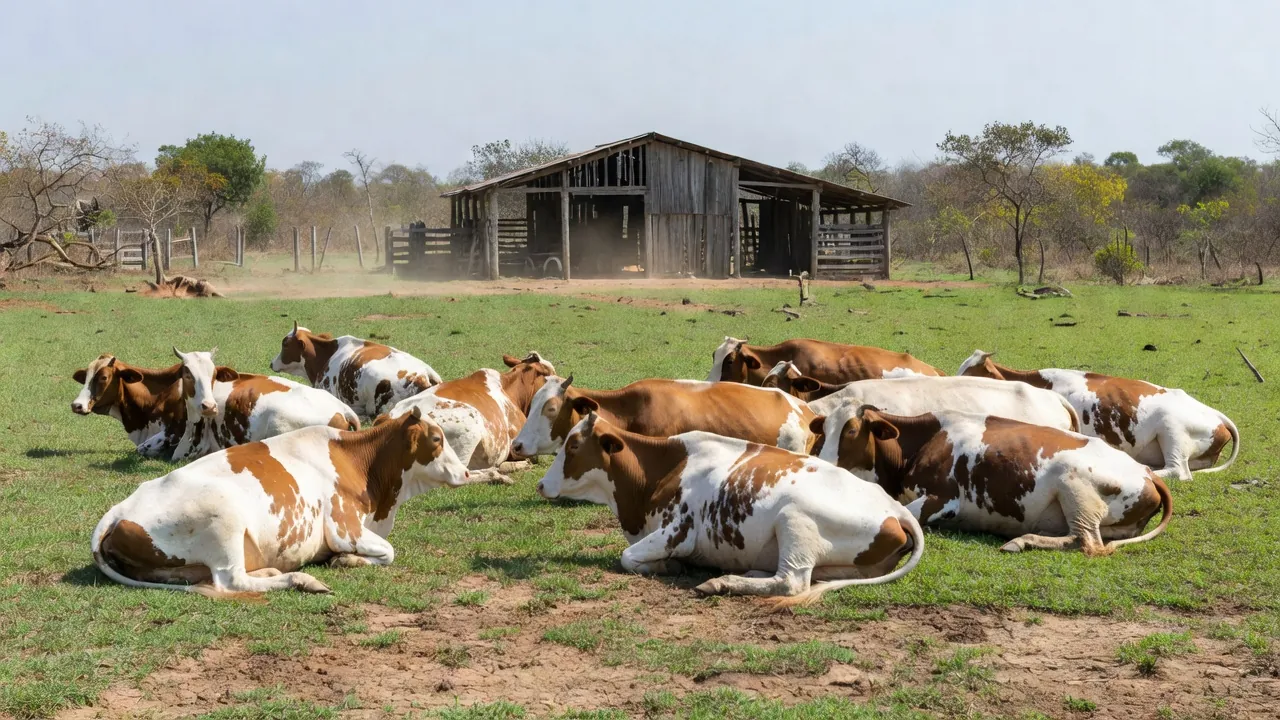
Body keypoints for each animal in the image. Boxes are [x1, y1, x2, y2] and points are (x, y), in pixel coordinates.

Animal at [91, 406, 470, 596]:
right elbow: (389, 552)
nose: (466, 473)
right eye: (436, 439)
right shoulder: (345, 528)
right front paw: (346, 561)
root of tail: (119, 510)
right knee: (231, 581)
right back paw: (300, 580)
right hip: (224, 517)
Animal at [535, 413, 924, 605]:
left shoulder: (679, 530)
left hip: (794, 519)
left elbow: (627, 557)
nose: (540, 484)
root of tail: (895, 508)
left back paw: (720, 583)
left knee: (792, 582)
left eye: (573, 445)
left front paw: (667, 566)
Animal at [809, 405, 1172, 556]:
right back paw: (1023, 540)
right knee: (1080, 538)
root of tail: (1146, 472)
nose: (820, 463)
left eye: (851, 431)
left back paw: (1021, 541)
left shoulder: (943, 499)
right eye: (822, 429)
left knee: (1090, 545)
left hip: (1074, 485)